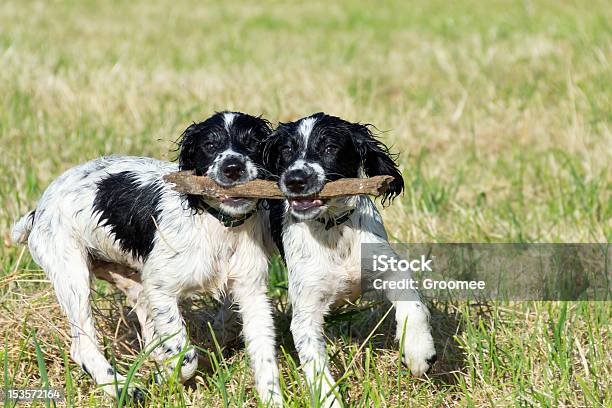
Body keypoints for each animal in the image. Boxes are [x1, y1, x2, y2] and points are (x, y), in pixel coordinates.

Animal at [10, 111, 282, 404]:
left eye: (253, 143)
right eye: (210, 145)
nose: (233, 168)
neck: (218, 226)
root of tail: (37, 210)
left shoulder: (251, 291)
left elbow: (263, 353)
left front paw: (273, 399)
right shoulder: (161, 287)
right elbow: (185, 355)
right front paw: (165, 378)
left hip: (131, 281)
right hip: (72, 274)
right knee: (82, 346)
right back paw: (123, 388)